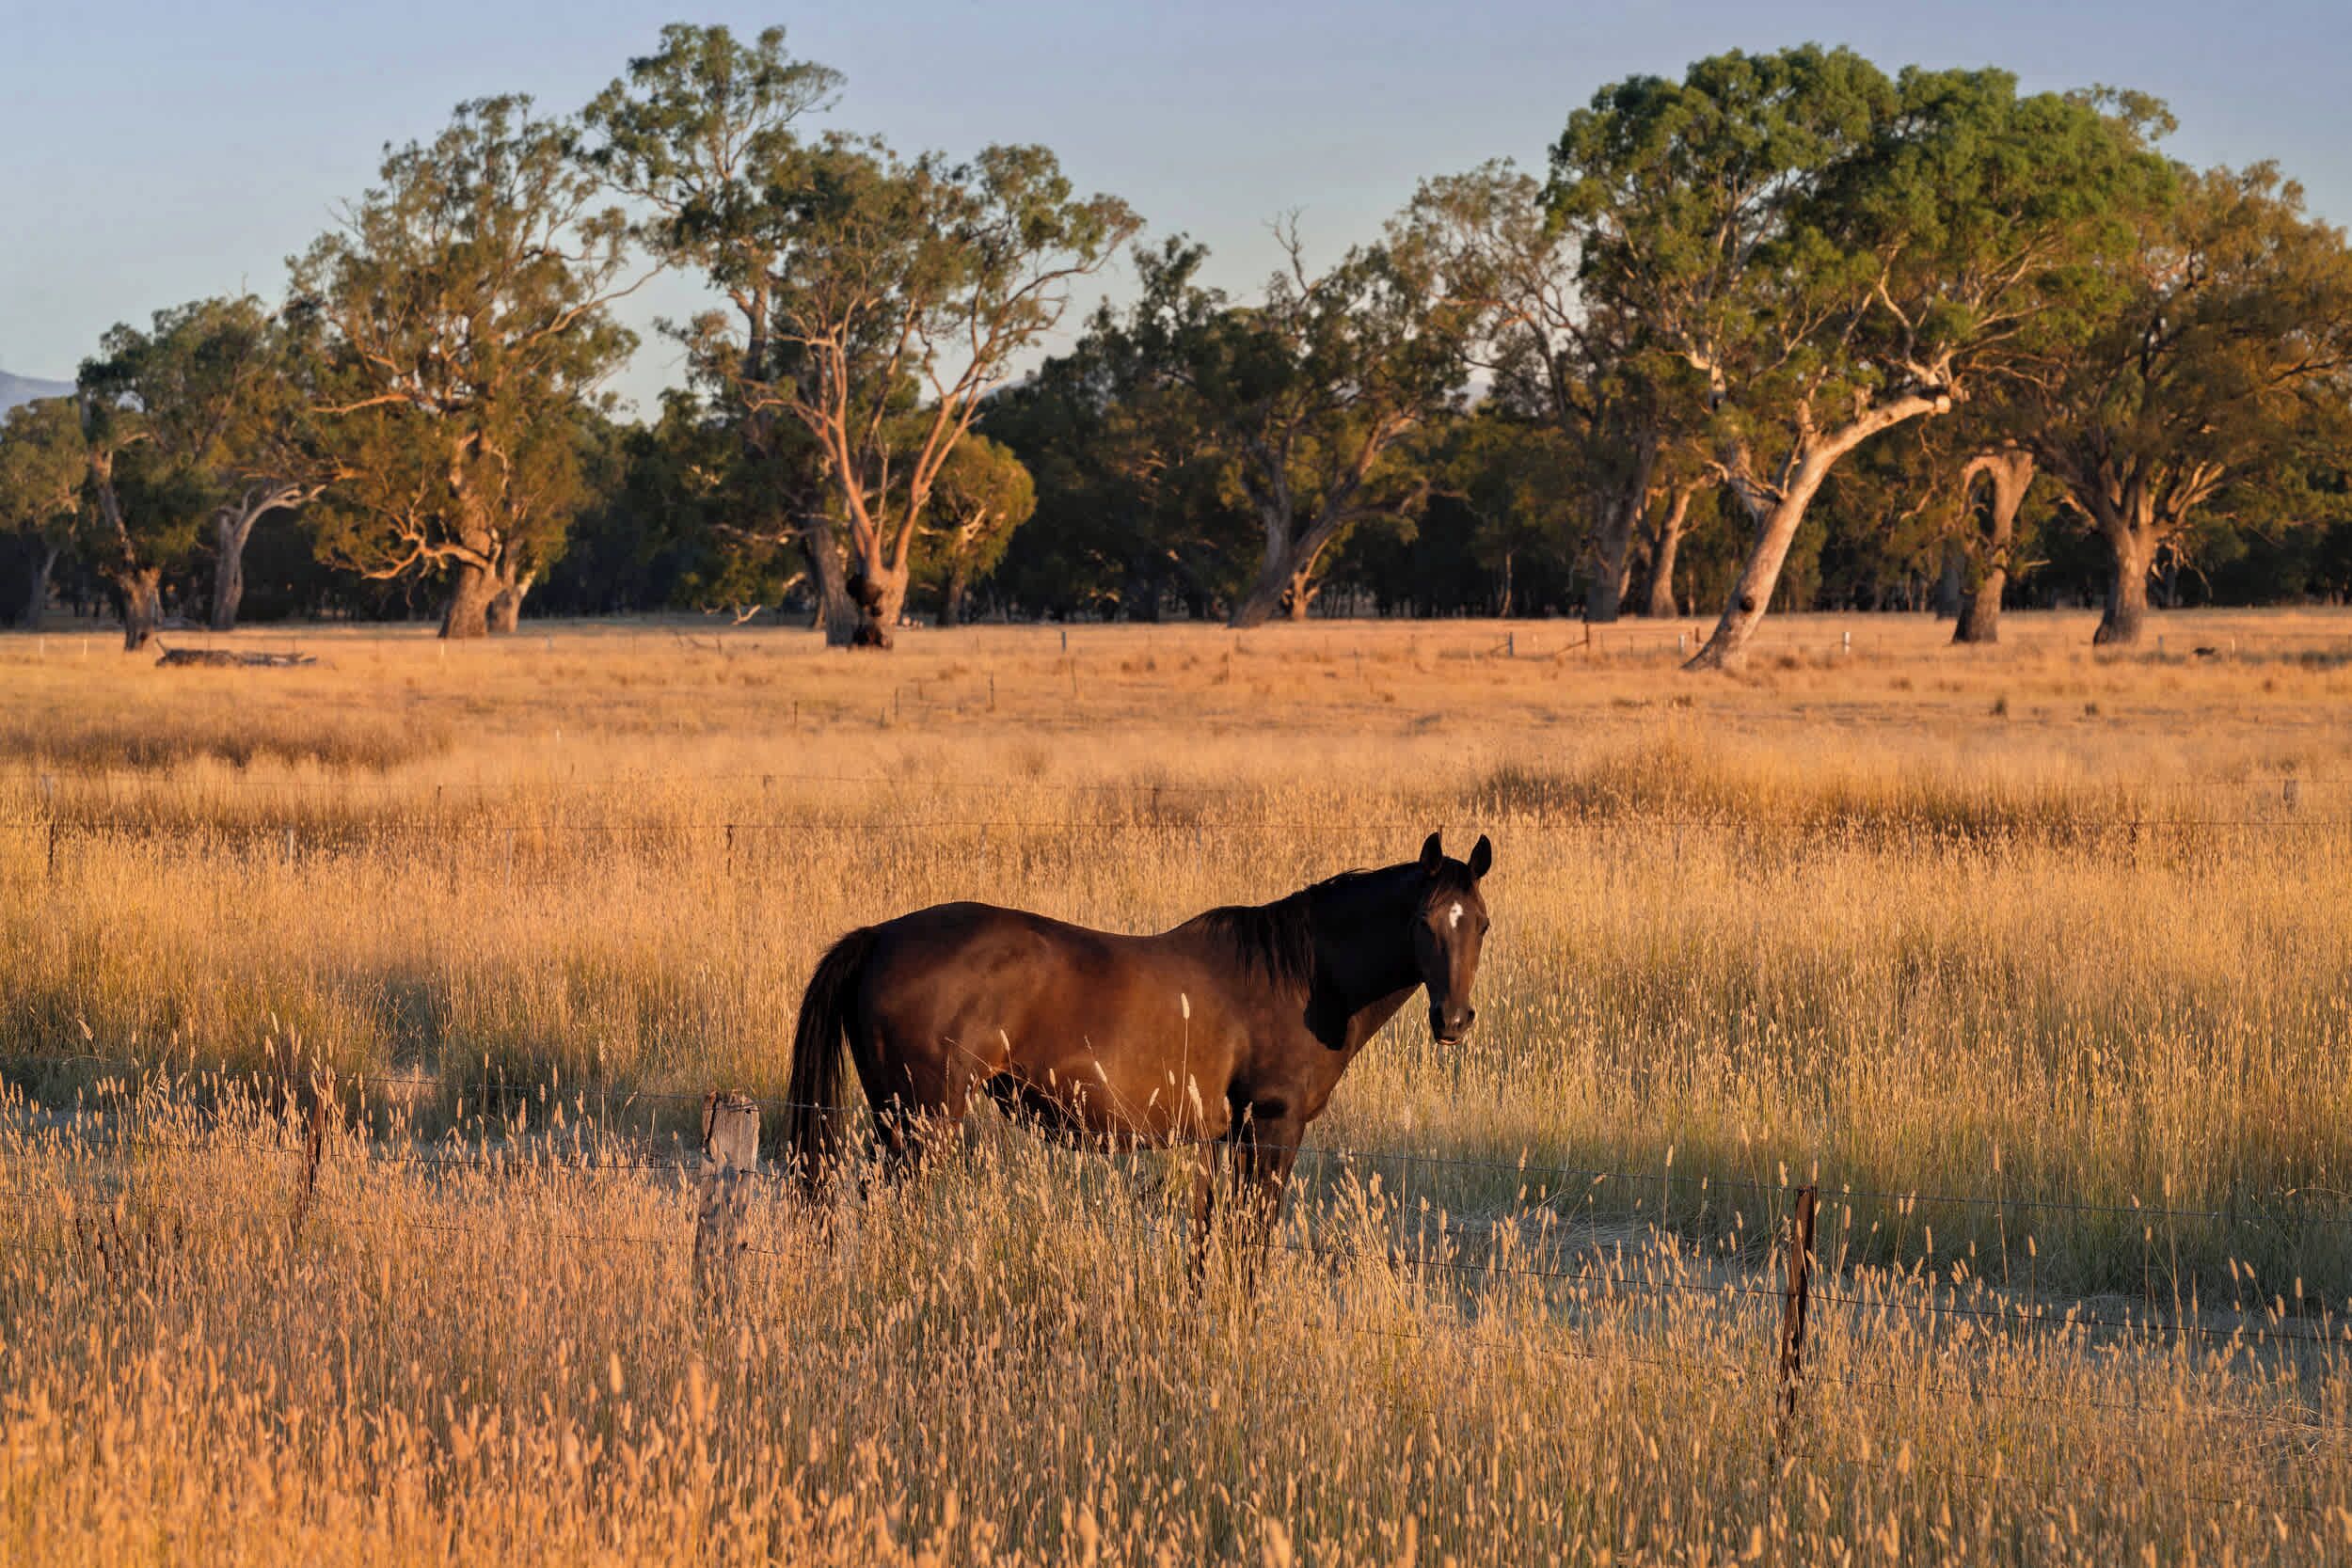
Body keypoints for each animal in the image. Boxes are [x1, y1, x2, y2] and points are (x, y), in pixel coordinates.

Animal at [782, 829, 1493, 1267]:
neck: (1301, 977)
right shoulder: (1273, 1126)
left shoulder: (1226, 1138)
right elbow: (1252, 1238)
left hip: (898, 1121)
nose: (1453, 1020)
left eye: (1482, 924)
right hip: (921, 1122)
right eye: (1422, 922)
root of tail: (880, 936)